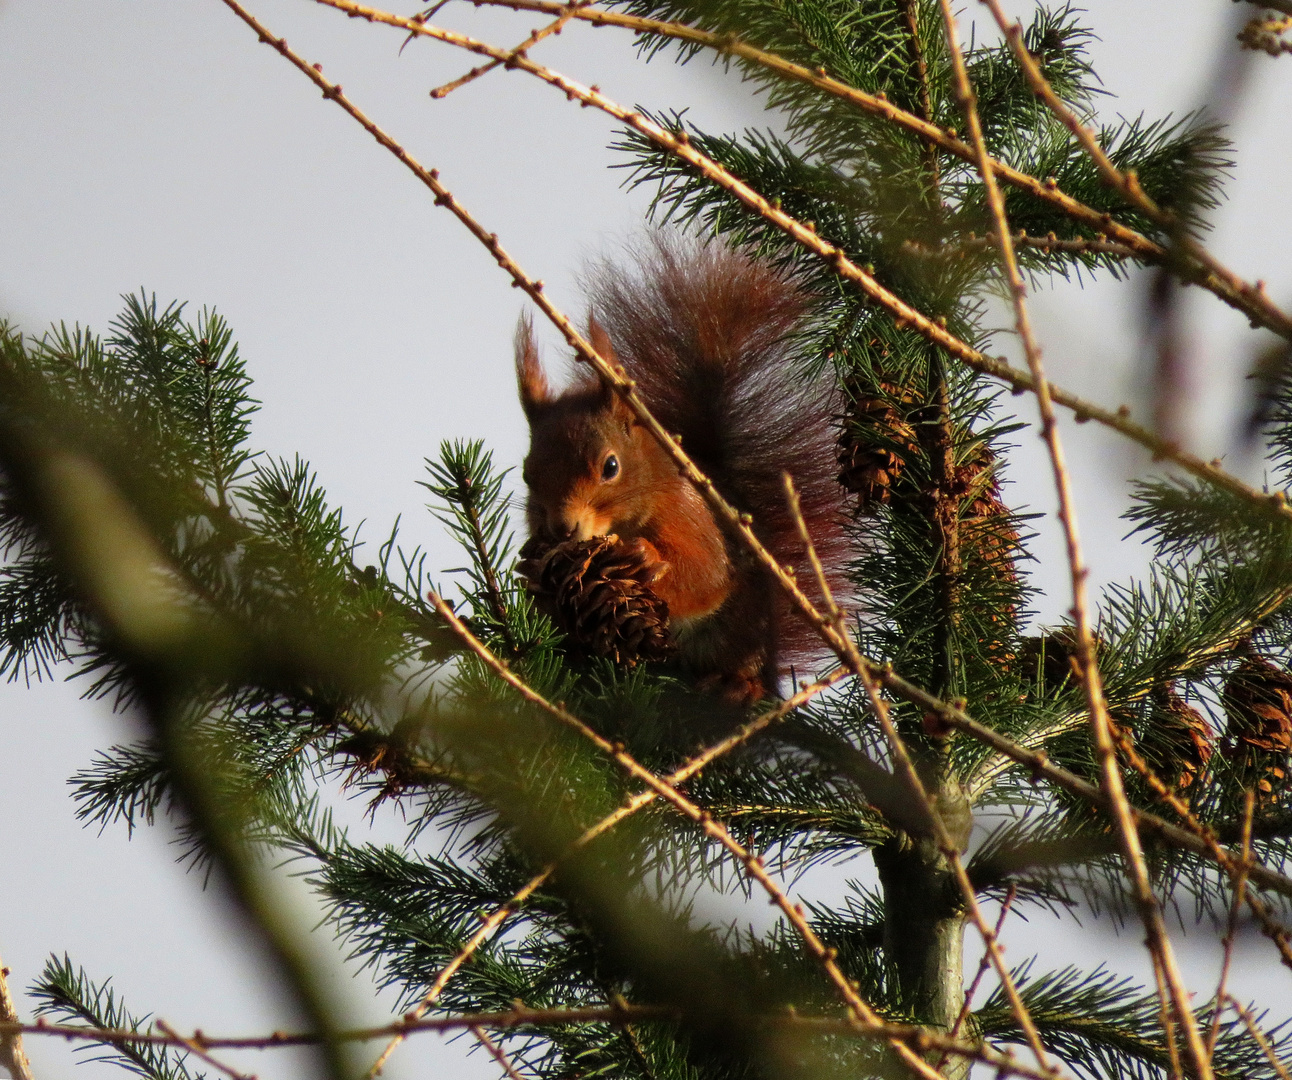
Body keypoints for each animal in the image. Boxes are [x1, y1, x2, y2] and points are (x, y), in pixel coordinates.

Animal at [514, 236, 847, 702]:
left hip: (742, 631)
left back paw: (738, 684)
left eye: (610, 466)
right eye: (527, 475)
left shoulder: (688, 513)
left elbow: (704, 574)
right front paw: (533, 574)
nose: (562, 528)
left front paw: (645, 558)